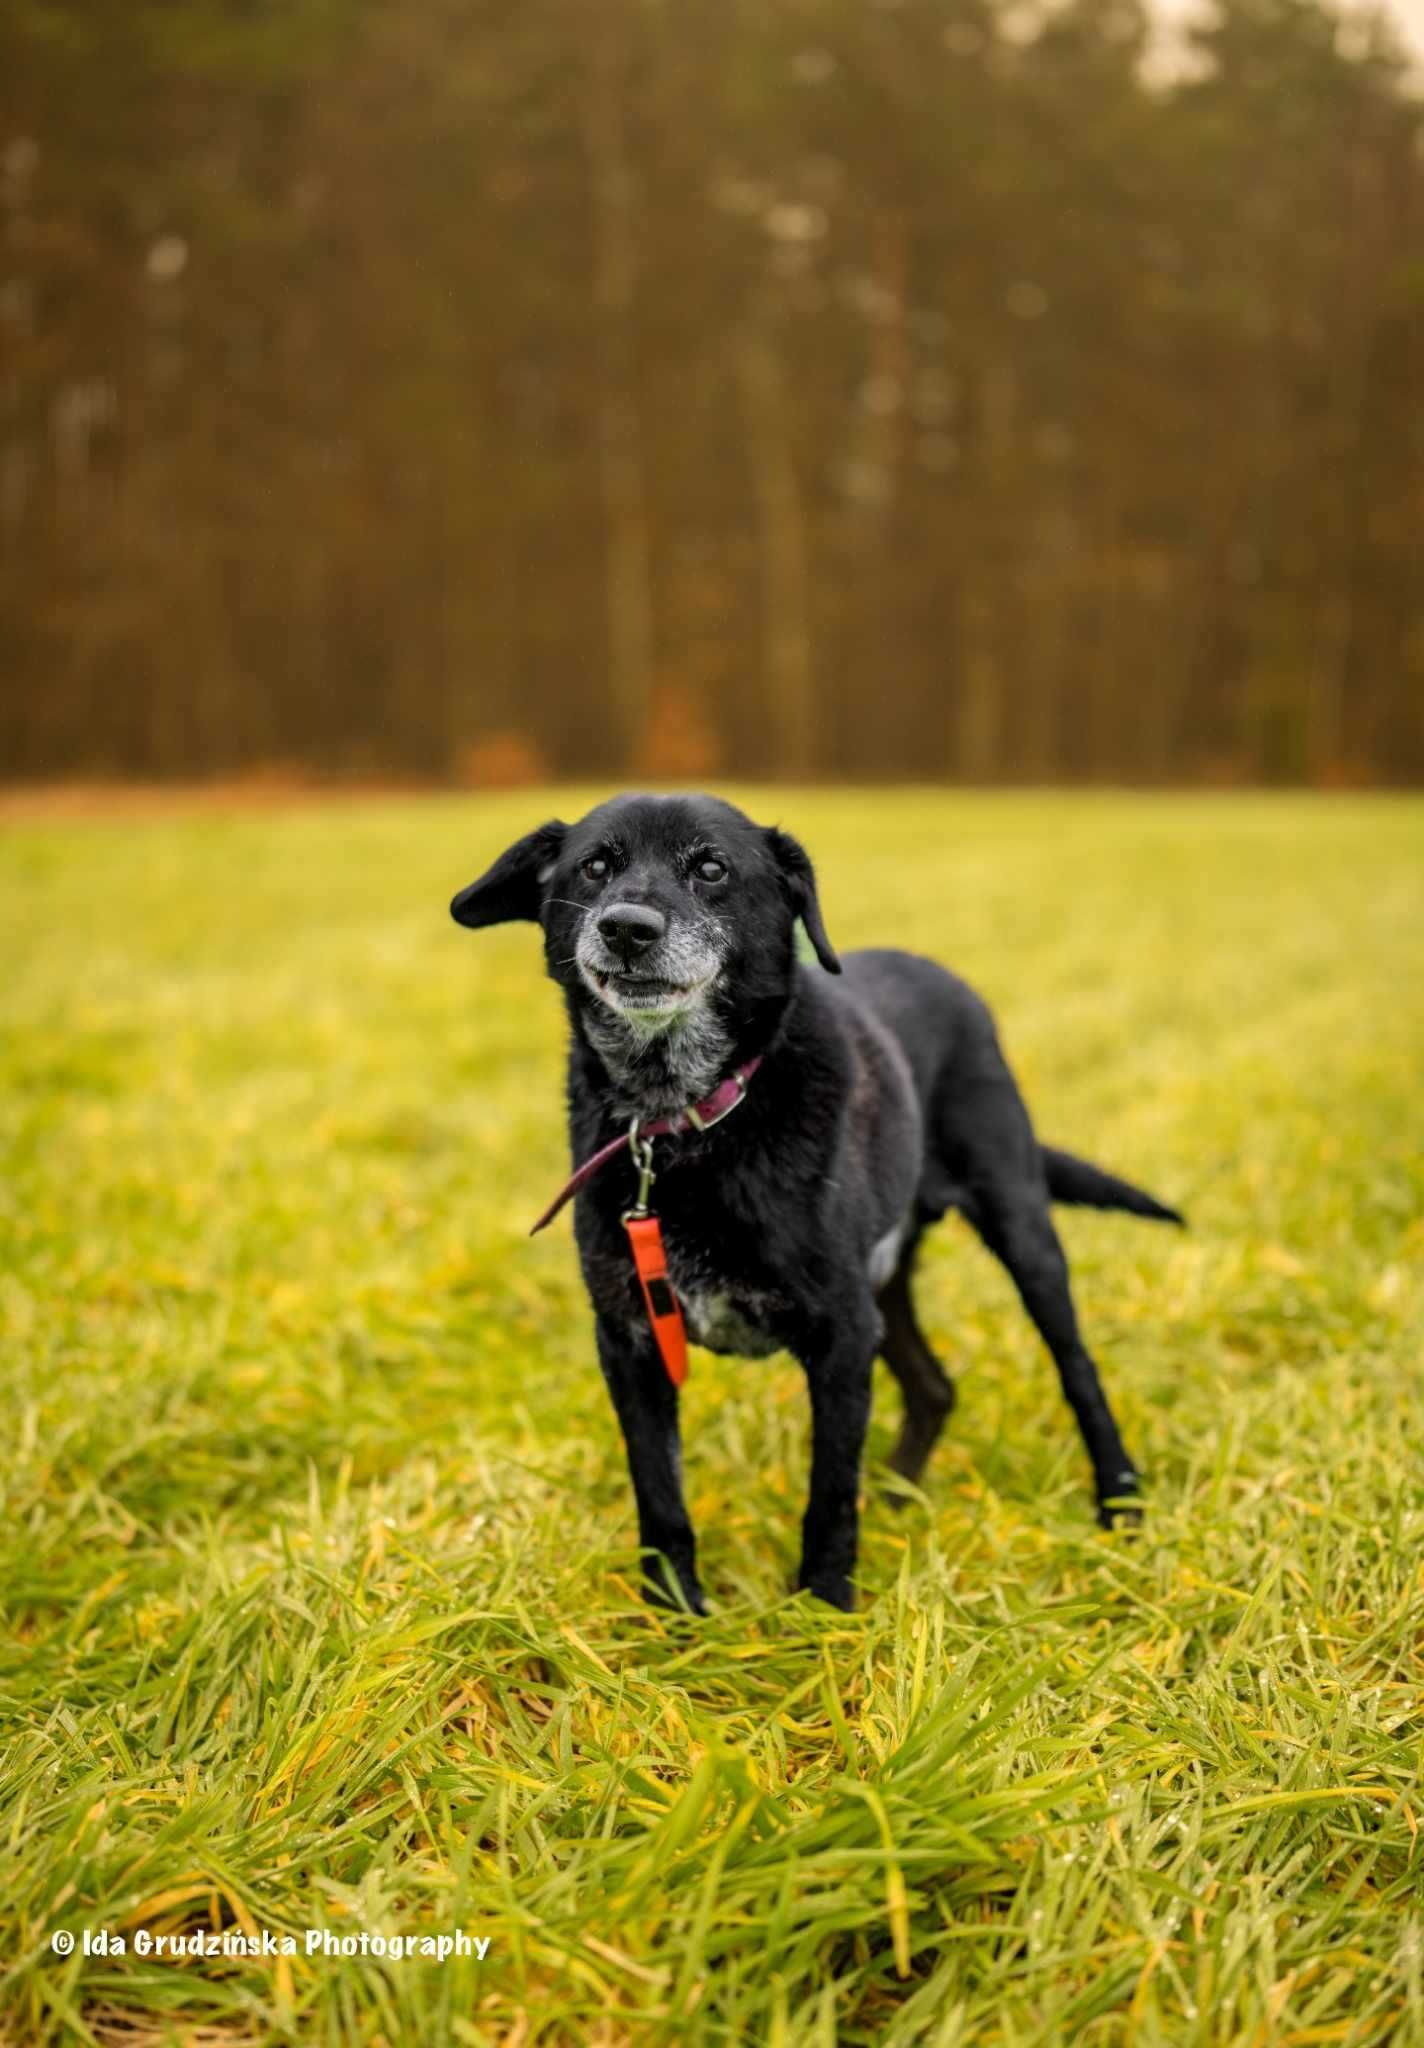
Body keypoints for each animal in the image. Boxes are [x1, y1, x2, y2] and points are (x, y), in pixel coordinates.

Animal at [454, 790, 1180, 1605]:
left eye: (711, 868)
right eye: (595, 866)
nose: (627, 928)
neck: (686, 1120)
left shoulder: (839, 1335)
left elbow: (829, 1493)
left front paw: (825, 1610)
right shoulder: (632, 1341)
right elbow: (660, 1496)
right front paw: (672, 1616)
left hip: (1019, 1230)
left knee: (1077, 1370)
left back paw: (1118, 1503)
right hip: (884, 1282)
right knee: (934, 1388)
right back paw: (897, 1496)